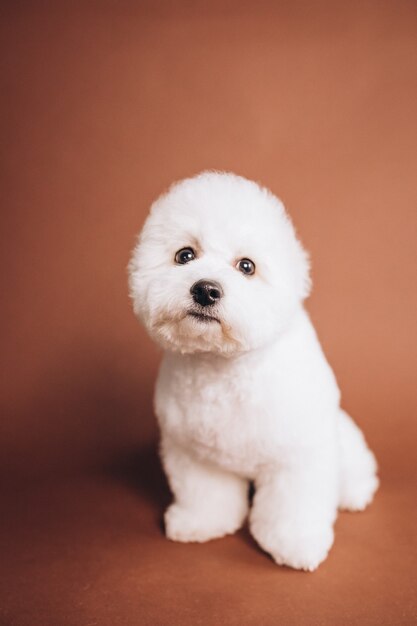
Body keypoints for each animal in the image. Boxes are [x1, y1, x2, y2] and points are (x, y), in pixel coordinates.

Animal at [128, 171, 378, 572]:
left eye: (247, 266)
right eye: (185, 255)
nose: (206, 289)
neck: (222, 366)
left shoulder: (298, 455)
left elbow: (294, 506)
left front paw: (296, 543)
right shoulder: (195, 454)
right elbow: (205, 494)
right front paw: (202, 523)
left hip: (343, 440)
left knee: (354, 467)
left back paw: (356, 492)